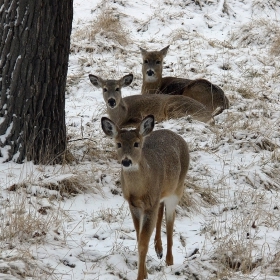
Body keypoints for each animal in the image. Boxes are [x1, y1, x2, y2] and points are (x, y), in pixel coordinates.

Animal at [101, 114, 190, 280]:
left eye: (136, 143)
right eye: (118, 144)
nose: (126, 161)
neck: (139, 191)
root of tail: (177, 136)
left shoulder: (149, 206)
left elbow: (143, 242)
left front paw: (141, 275)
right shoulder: (134, 205)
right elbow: (139, 237)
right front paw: (145, 272)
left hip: (177, 188)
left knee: (170, 221)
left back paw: (169, 260)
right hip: (161, 194)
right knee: (161, 210)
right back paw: (159, 249)